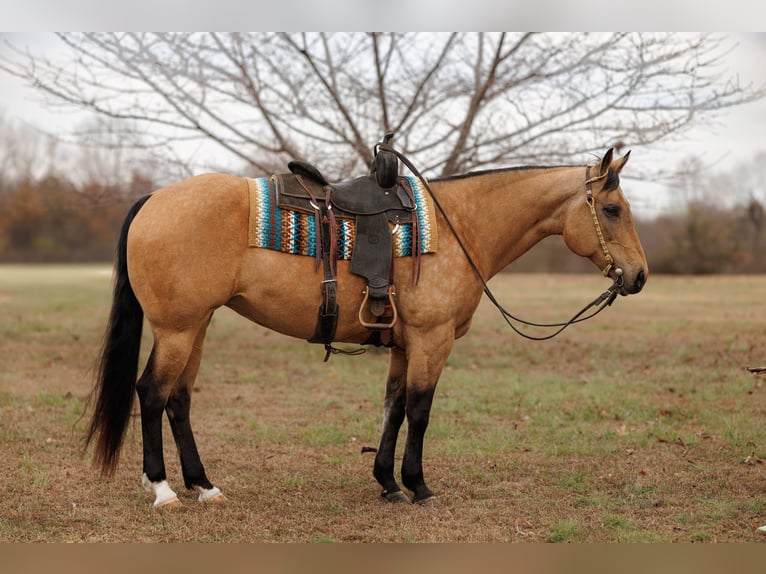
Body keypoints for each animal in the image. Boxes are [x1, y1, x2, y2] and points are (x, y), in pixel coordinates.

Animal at [85, 148, 647, 507]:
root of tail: (154, 199)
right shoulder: (431, 340)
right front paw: (418, 486)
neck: (459, 225)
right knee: (152, 393)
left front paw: (388, 483)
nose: (639, 276)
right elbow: (419, 411)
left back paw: (204, 486)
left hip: (196, 327)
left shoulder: (403, 343)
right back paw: (162, 490)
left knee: (179, 400)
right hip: (177, 330)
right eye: (612, 209)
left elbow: (393, 407)